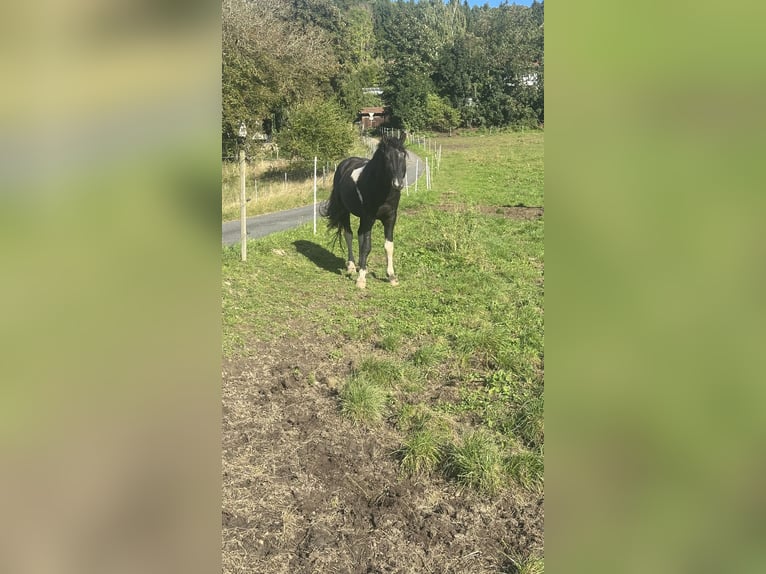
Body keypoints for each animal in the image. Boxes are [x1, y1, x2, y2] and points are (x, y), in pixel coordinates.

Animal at [321, 132, 408, 289]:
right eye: (387, 158)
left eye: (403, 155)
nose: (398, 184)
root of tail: (345, 163)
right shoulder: (369, 217)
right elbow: (366, 246)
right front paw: (361, 279)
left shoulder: (390, 218)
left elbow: (388, 246)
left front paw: (392, 277)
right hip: (345, 211)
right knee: (349, 235)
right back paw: (351, 266)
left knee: (360, 235)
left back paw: (363, 266)